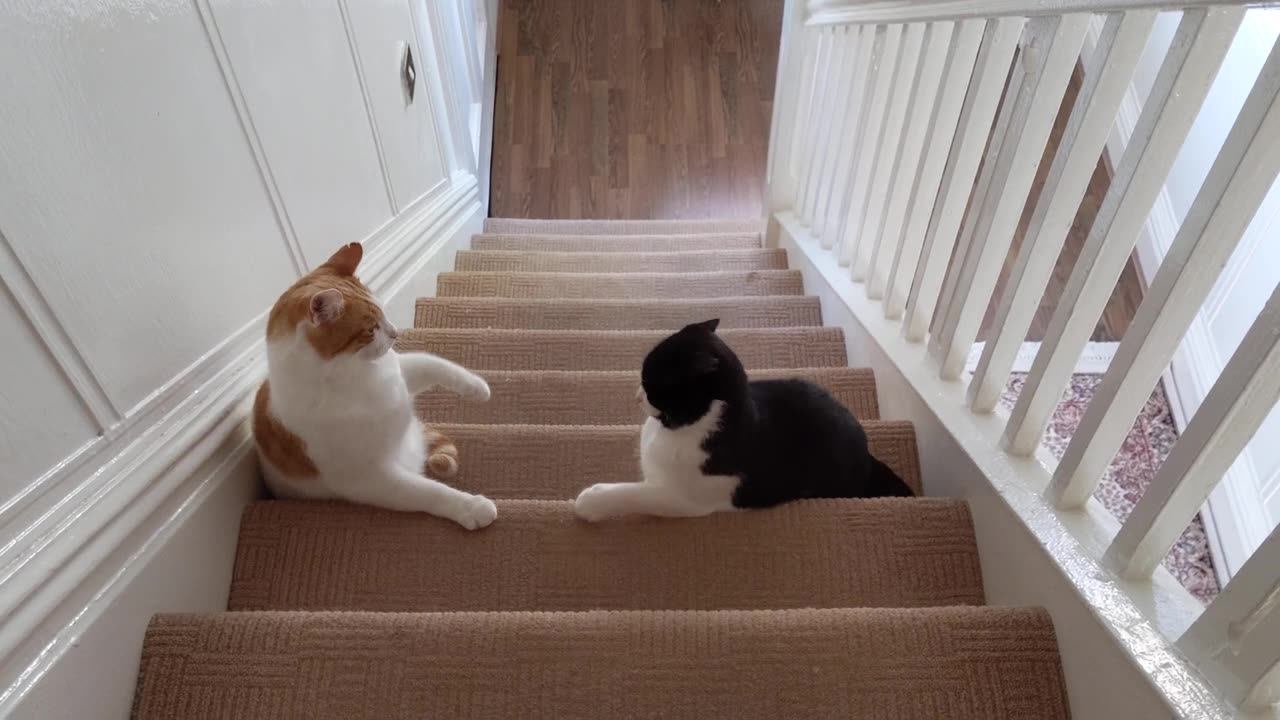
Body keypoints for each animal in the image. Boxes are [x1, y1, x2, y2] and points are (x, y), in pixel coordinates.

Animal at [252, 240, 496, 527]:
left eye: (384, 313)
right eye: (370, 329)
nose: (395, 333)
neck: (354, 374)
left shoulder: (400, 372)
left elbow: (435, 365)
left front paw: (478, 387)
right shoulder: (371, 479)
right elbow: (429, 492)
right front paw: (472, 507)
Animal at [570, 316, 911, 517]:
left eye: (649, 380)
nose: (636, 396)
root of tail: (868, 453)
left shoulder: (682, 498)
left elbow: (633, 493)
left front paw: (590, 500)